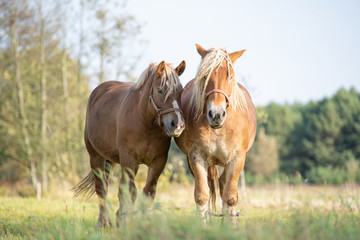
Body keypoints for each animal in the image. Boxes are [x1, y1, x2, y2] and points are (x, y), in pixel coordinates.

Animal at [72, 60, 186, 229]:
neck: (146, 123)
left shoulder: (158, 162)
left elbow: (148, 192)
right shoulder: (128, 159)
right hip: (96, 157)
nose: (177, 125)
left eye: (181, 92)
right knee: (102, 188)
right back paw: (103, 223)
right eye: (160, 90)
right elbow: (129, 191)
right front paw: (126, 221)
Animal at [175, 44, 256, 221]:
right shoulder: (196, 157)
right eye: (205, 76)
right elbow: (202, 196)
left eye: (230, 76)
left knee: (223, 185)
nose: (216, 114)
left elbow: (230, 197)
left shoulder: (237, 159)